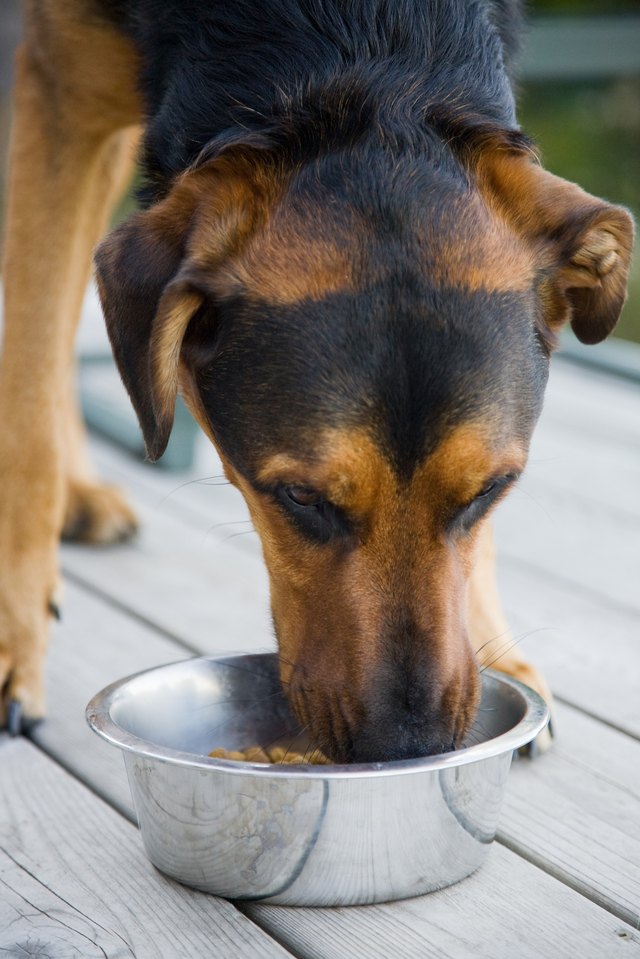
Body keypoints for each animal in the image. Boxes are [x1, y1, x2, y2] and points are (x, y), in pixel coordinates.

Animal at [0, 1, 632, 764]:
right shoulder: (56, 85)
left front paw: (495, 644)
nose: (410, 747)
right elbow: (29, 382)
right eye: (301, 498)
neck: (366, 50)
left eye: (492, 489)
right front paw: (14, 639)